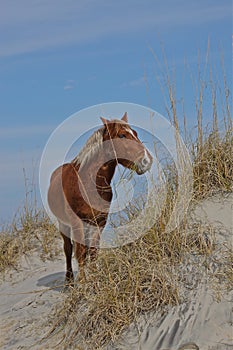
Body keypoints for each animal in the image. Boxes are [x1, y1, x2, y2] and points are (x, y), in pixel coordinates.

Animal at [47, 113, 153, 284]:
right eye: (122, 135)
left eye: (135, 133)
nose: (147, 160)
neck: (88, 182)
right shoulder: (77, 222)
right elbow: (80, 252)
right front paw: (84, 283)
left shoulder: (100, 221)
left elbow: (93, 251)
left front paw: (95, 279)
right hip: (64, 224)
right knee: (68, 249)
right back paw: (69, 280)